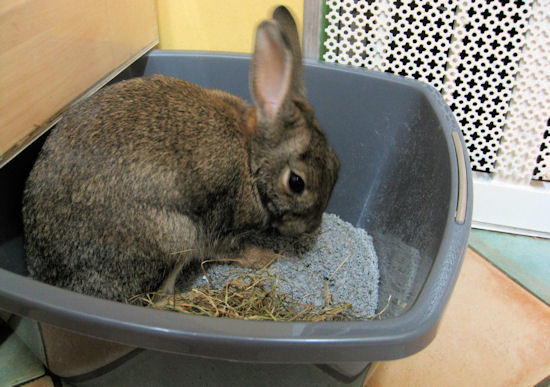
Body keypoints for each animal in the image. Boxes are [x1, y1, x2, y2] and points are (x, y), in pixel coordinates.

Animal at [22, 6, 340, 304]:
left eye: (337, 165)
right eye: (296, 183)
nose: (311, 226)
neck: (251, 159)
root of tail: (49, 275)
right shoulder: (220, 221)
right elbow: (229, 248)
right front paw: (266, 258)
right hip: (174, 237)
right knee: (157, 298)